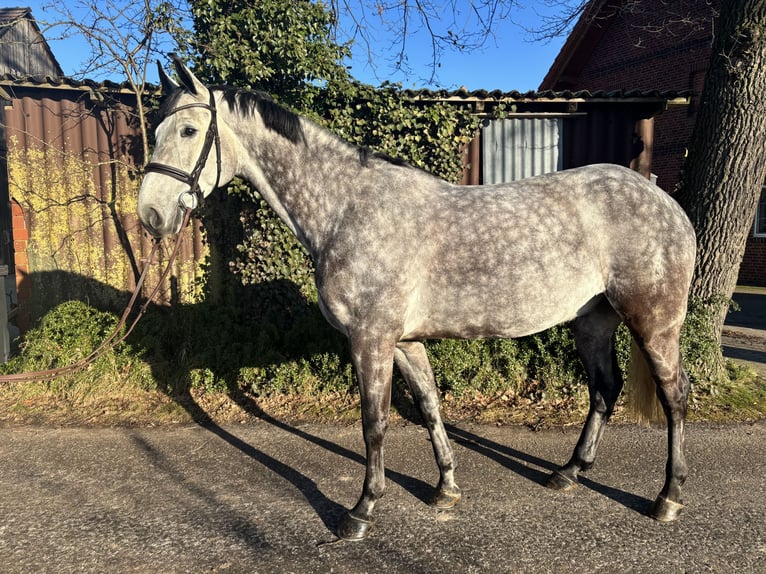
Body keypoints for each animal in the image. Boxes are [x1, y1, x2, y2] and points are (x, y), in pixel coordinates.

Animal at [136, 56, 696, 544]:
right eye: (158, 130)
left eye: (188, 132)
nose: (150, 215)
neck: (346, 210)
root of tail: (667, 204)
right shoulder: (404, 343)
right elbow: (429, 407)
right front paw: (445, 488)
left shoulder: (371, 340)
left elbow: (374, 423)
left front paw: (361, 511)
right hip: (593, 321)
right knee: (605, 388)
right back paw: (569, 472)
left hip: (653, 321)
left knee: (674, 396)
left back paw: (667, 498)